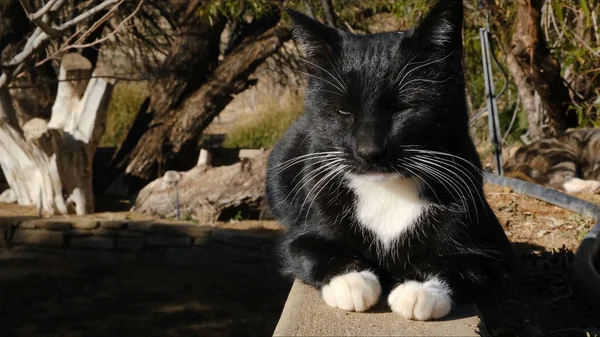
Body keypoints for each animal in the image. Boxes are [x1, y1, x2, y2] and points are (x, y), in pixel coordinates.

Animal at [266, 0, 516, 320]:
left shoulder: (494, 250)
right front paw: (352, 281)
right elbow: (308, 248)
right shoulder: (300, 233)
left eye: (403, 108)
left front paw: (419, 290)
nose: (368, 151)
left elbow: (466, 263)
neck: (387, 189)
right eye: (343, 111)